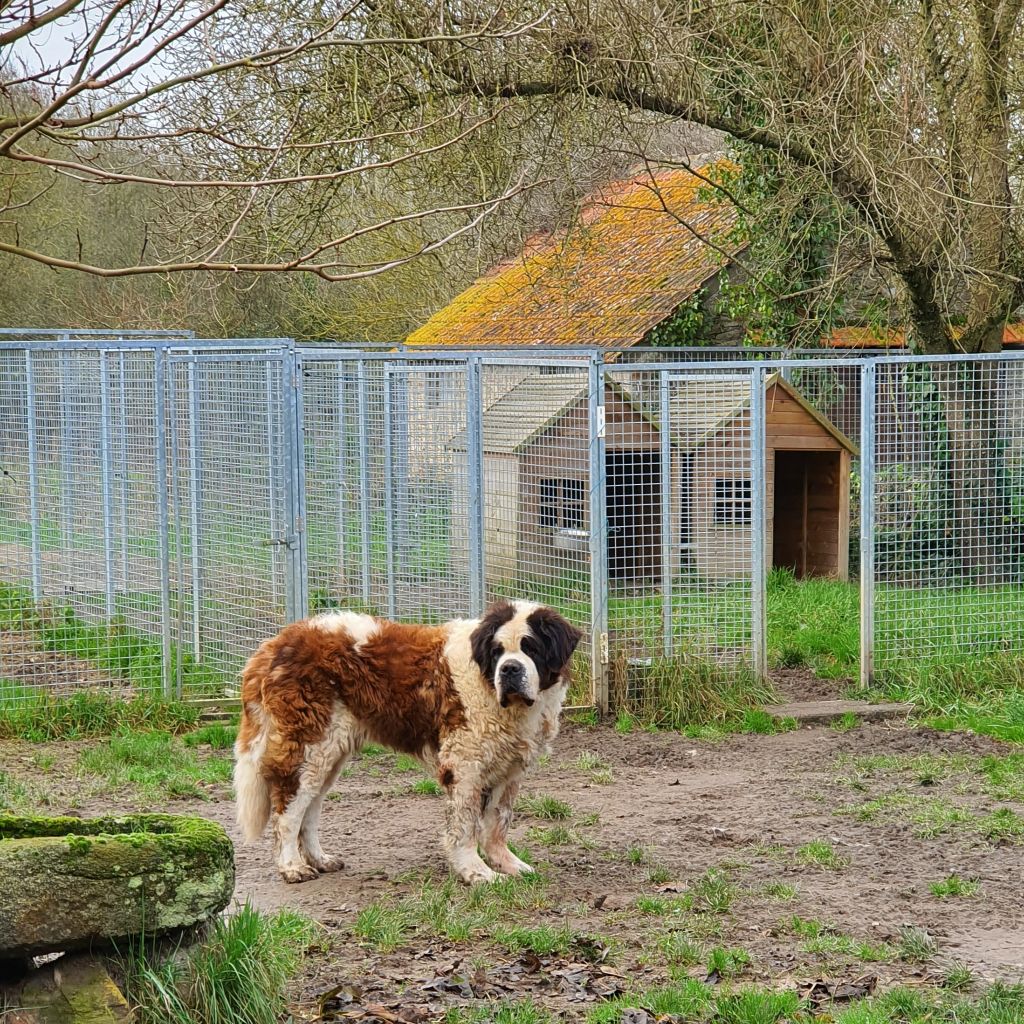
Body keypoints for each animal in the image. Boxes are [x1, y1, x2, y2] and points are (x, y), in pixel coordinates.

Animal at [234, 602, 581, 884]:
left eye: (531, 649)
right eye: (497, 652)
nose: (509, 668)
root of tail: (276, 642)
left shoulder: (508, 770)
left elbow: (498, 824)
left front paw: (507, 864)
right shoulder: (465, 767)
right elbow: (465, 827)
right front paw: (476, 873)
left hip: (329, 755)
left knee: (310, 810)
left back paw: (320, 859)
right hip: (309, 748)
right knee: (288, 811)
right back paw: (292, 866)